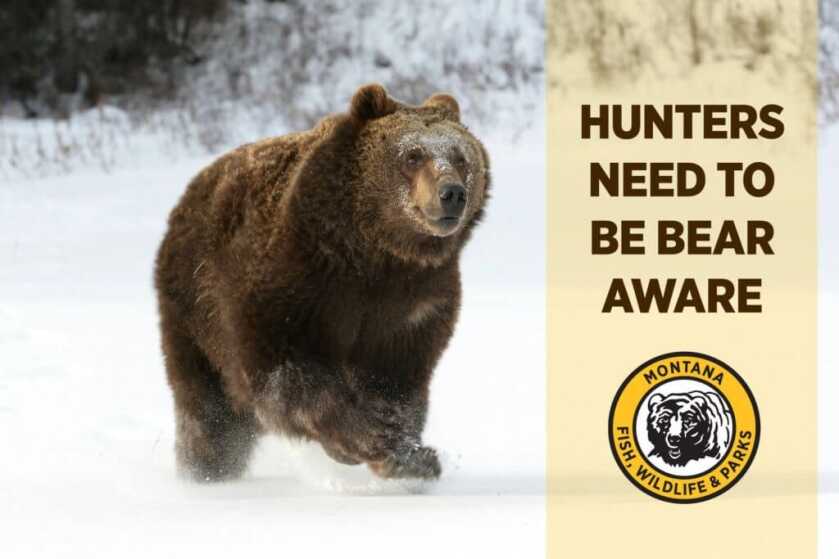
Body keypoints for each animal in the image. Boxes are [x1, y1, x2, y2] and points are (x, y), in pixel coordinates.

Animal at [154, 84, 490, 482]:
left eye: (461, 157)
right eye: (412, 155)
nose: (451, 193)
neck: (376, 253)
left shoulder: (414, 304)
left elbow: (395, 383)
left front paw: (410, 455)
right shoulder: (296, 284)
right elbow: (287, 376)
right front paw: (369, 440)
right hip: (194, 310)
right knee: (208, 412)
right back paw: (205, 472)